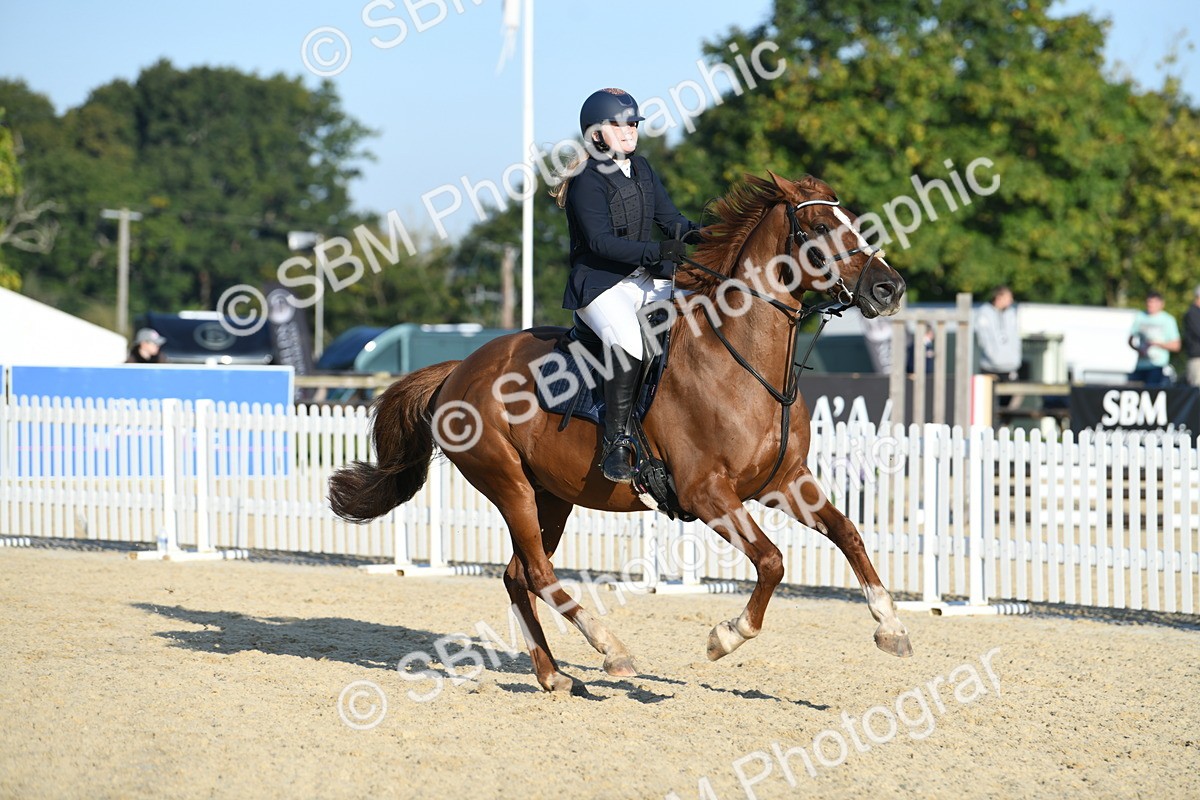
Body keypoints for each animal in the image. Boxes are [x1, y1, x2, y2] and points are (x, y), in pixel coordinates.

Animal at [329, 171, 912, 694]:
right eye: (818, 227)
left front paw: (891, 626)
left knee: (519, 575)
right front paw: (725, 636)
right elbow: (772, 561)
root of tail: (457, 370)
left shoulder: (785, 482)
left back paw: (554, 675)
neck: (740, 361)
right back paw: (610, 649)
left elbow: (848, 533)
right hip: (510, 486)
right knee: (538, 572)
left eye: (852, 221)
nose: (889, 288)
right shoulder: (708, 495)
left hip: (552, 496)